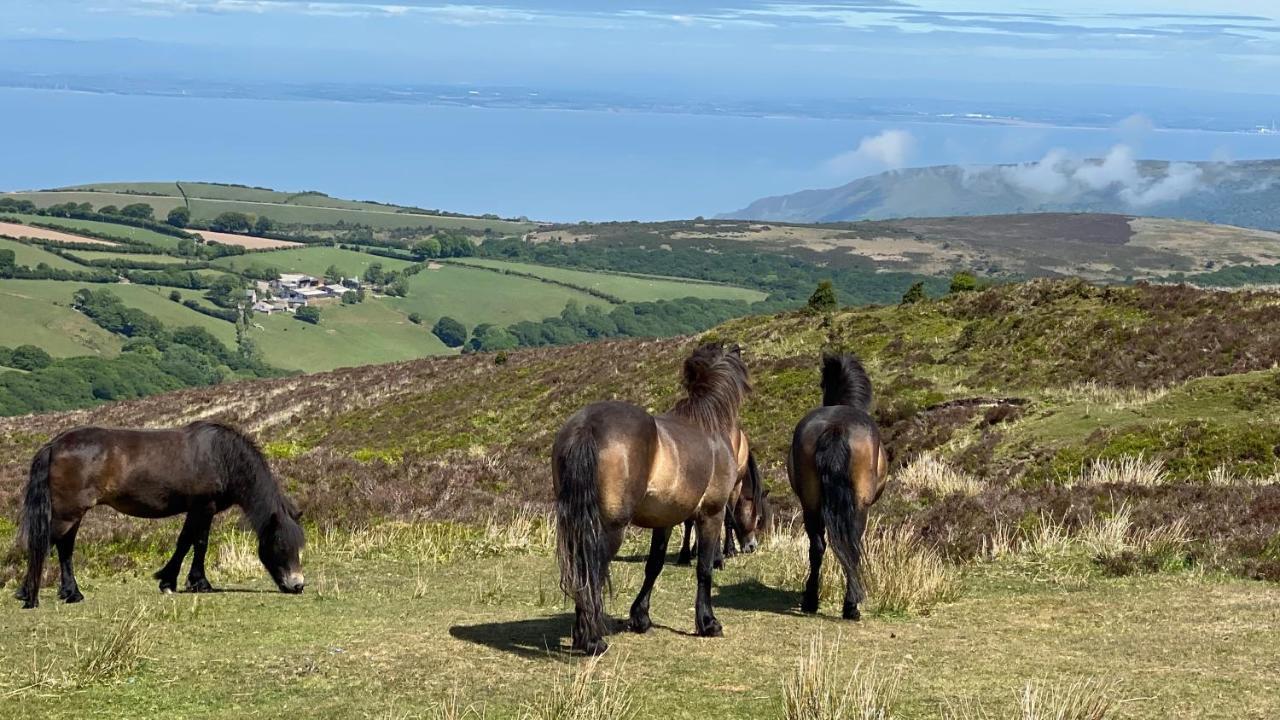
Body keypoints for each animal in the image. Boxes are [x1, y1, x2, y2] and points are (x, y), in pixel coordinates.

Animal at [16, 417, 305, 607]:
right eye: (280, 545)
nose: (298, 585)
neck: (222, 457)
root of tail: (54, 445)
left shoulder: (196, 509)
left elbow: (186, 542)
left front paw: (170, 580)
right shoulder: (204, 507)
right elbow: (198, 542)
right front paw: (197, 583)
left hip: (73, 513)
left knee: (64, 548)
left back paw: (71, 593)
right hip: (68, 513)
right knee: (45, 544)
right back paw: (29, 595)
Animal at [550, 338, 747, 653]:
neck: (709, 426)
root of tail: (586, 426)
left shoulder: (664, 520)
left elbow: (653, 565)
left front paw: (640, 617)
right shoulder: (712, 514)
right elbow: (704, 568)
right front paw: (708, 623)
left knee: (581, 570)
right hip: (610, 528)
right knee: (592, 569)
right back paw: (591, 640)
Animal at [783, 351, 885, 617]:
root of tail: (836, 427)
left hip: (810, 504)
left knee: (817, 547)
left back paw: (811, 600)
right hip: (858, 507)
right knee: (852, 548)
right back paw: (848, 606)